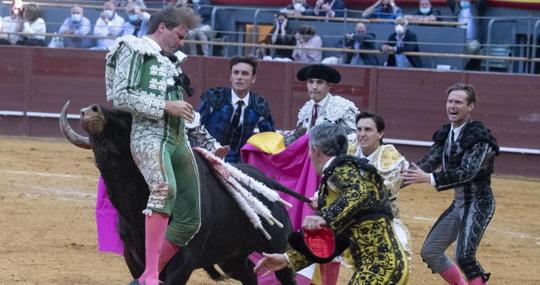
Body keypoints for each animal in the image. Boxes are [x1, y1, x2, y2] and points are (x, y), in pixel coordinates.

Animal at [59, 101, 310, 282]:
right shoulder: (133, 258)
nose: (90, 111)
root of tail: (269, 185)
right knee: (248, 273)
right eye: (96, 145)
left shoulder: (182, 263)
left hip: (276, 247)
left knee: (285, 272)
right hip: (232, 256)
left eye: (126, 116)